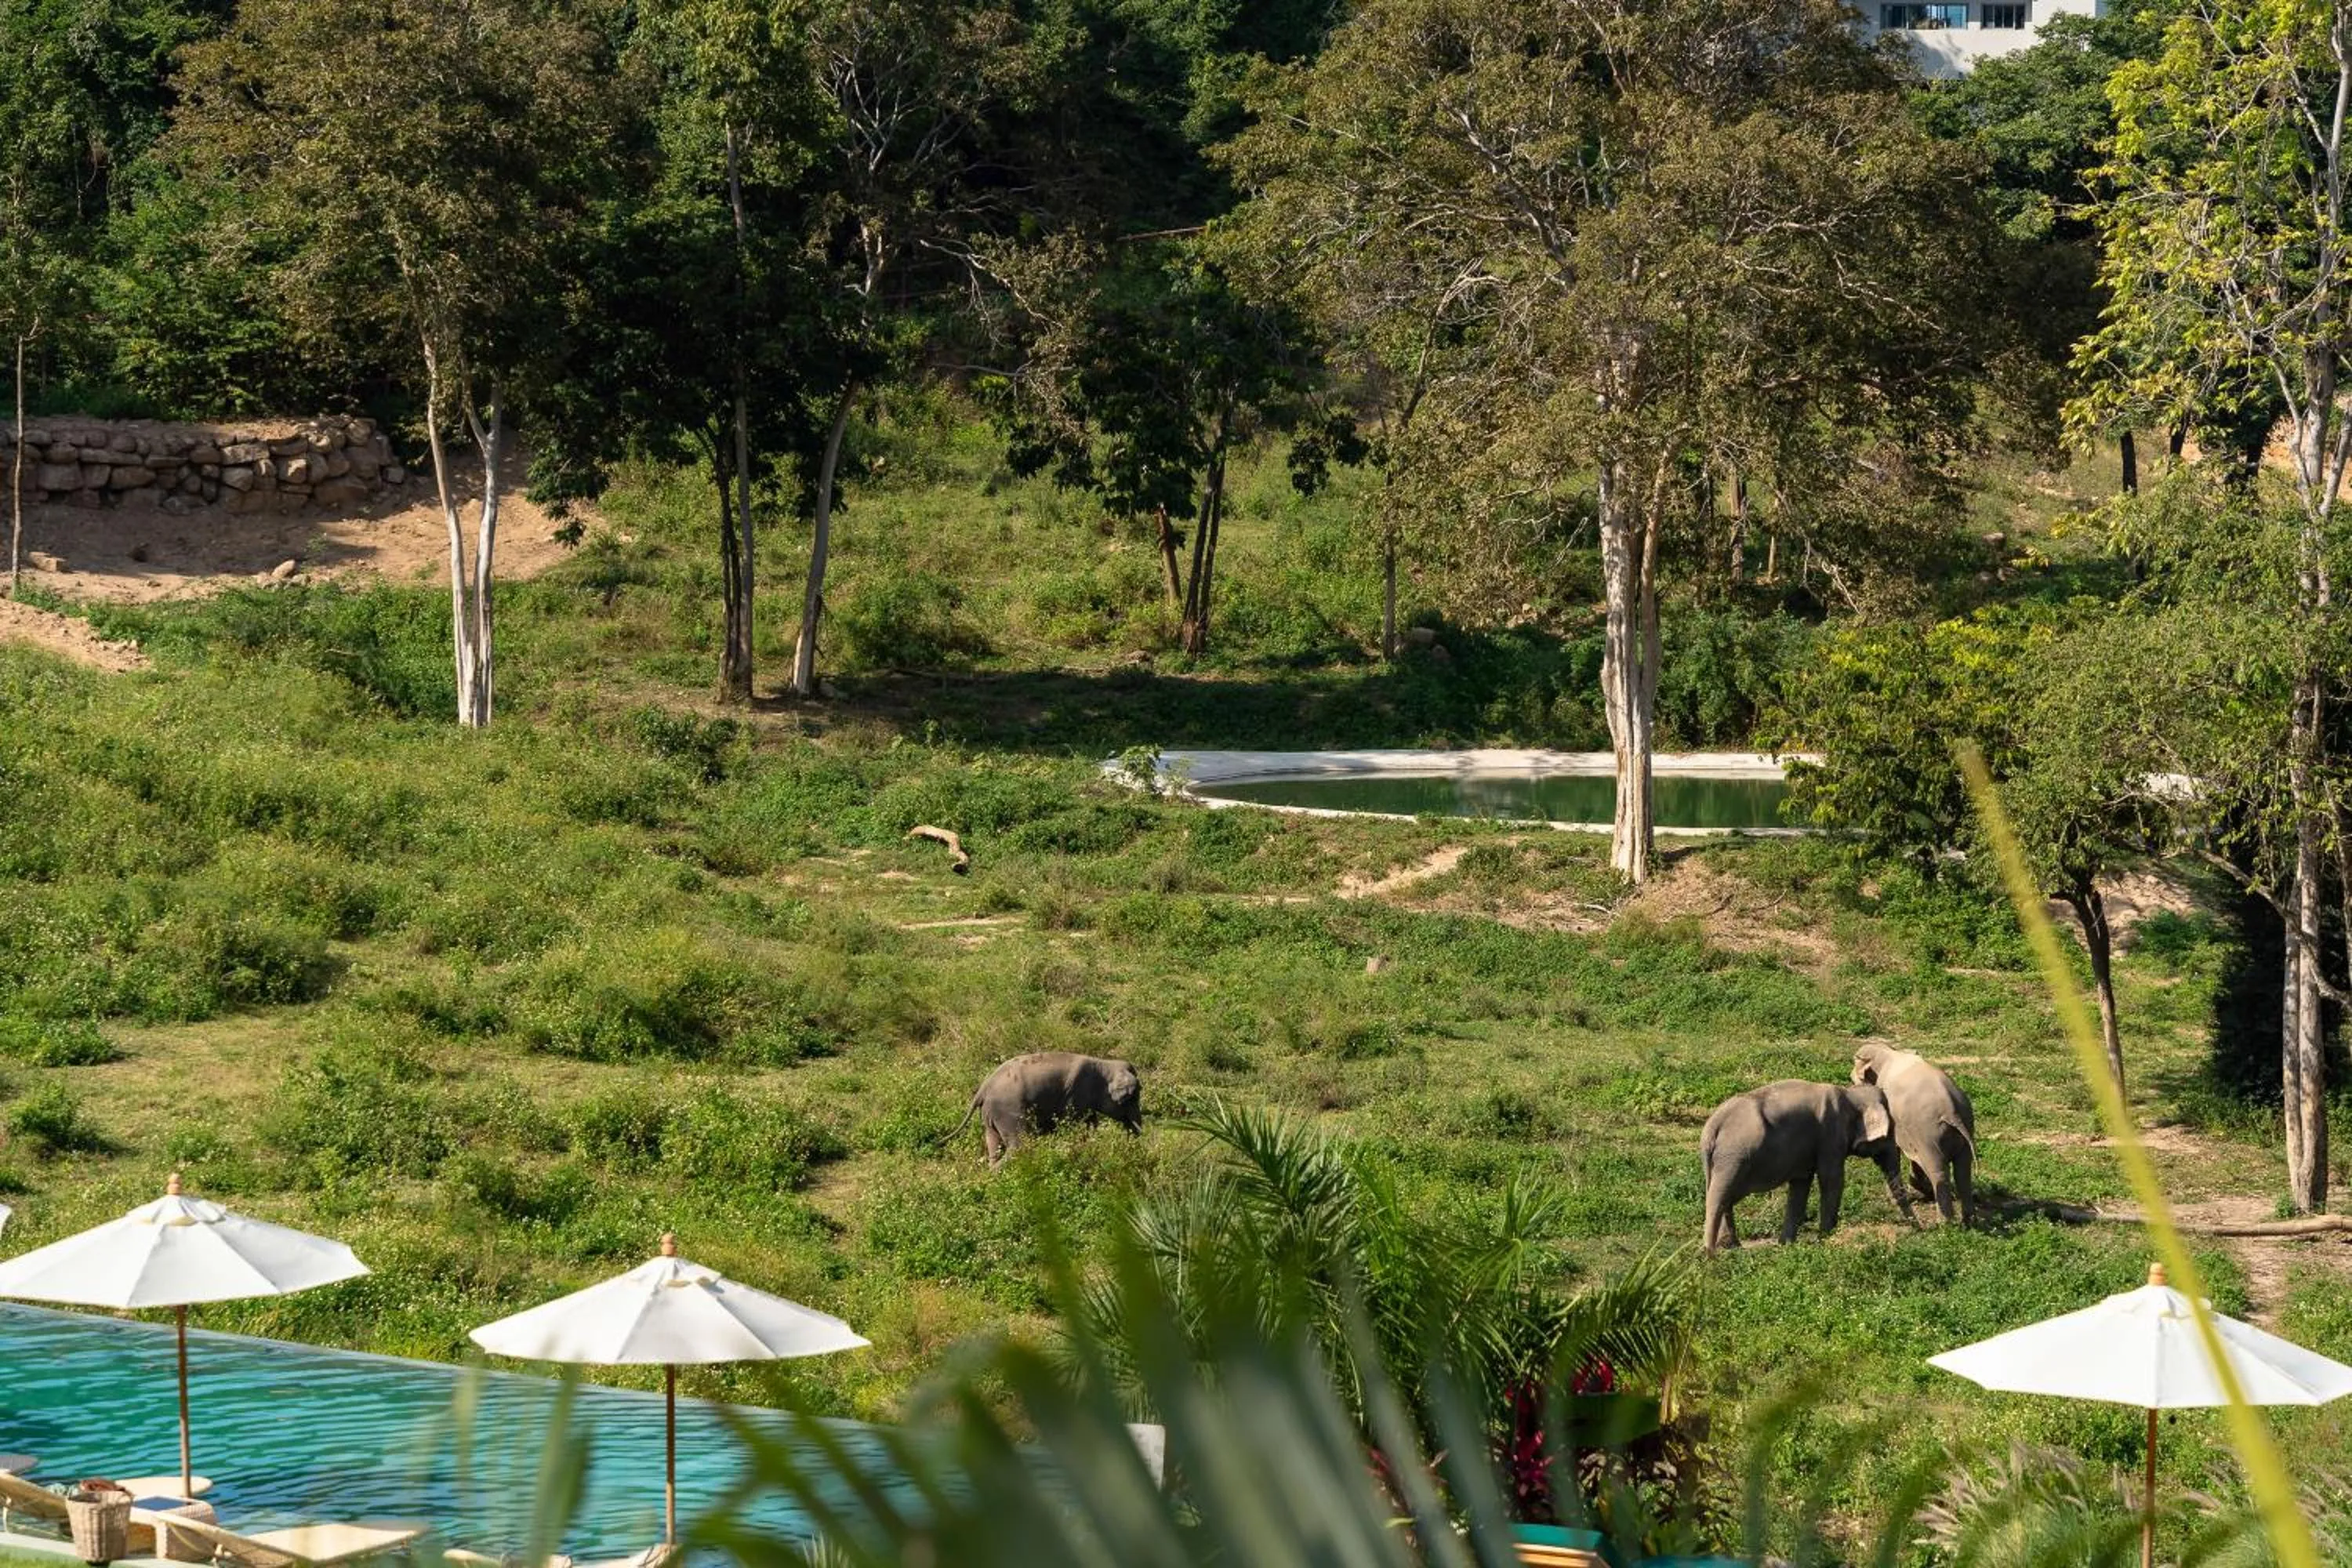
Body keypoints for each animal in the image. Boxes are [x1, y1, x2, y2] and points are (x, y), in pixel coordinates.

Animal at [943, 1051, 1144, 1167]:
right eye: (1131, 1097)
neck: (1105, 1063)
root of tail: (982, 1090)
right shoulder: (1076, 1095)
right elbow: (1076, 1121)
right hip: (1008, 1112)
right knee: (1018, 1146)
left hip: (990, 1116)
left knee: (994, 1145)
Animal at [1700, 1080, 1914, 1253]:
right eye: (1890, 1133)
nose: (1918, 1228)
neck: (1849, 1093)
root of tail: (1713, 1126)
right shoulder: (1830, 1135)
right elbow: (1832, 1179)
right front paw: (1826, 1238)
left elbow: (1801, 1185)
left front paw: (1787, 1244)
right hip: (1734, 1158)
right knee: (1720, 1197)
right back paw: (1712, 1253)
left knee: (1724, 1197)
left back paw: (1730, 1247)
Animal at [1852, 1042, 1977, 1227]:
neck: (1889, 1052)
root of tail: (1952, 1111)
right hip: (1966, 1128)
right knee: (1963, 1171)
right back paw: (1969, 1221)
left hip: (1929, 1134)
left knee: (1939, 1171)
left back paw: (1945, 1223)